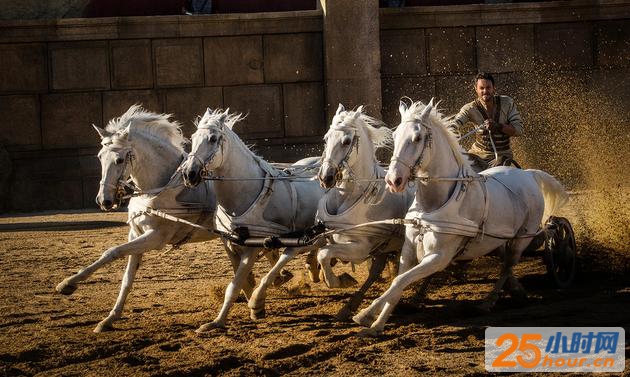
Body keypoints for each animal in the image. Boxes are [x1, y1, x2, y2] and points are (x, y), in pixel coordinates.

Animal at [56, 104, 220, 330]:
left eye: (119, 159)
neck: (160, 189)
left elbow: (112, 252)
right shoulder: (135, 234)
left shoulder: (155, 238)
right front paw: (110, 318)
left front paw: (67, 283)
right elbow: (127, 277)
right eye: (99, 156)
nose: (104, 200)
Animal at [179, 107, 324, 330]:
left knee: (298, 249)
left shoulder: (252, 245)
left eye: (213, 138)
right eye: (193, 137)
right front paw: (224, 317)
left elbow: (235, 285)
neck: (245, 191)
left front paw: (222, 320)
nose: (189, 173)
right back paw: (312, 269)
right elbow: (241, 281)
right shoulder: (229, 243)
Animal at [316, 103, 414, 320]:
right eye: (326, 138)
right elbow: (321, 252)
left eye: (346, 141)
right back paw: (349, 307)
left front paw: (336, 281)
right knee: (376, 270)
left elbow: (324, 254)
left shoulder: (360, 248)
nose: (326, 177)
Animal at [354, 99, 572, 334]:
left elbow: (399, 281)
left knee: (507, 266)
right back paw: (514, 291)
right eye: (395, 137)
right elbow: (399, 282)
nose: (393, 180)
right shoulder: (409, 250)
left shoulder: (439, 257)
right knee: (504, 263)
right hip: (500, 239)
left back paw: (488, 303)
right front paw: (376, 324)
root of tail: (528, 174)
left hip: (521, 239)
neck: (432, 205)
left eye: (418, 137)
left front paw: (365, 313)